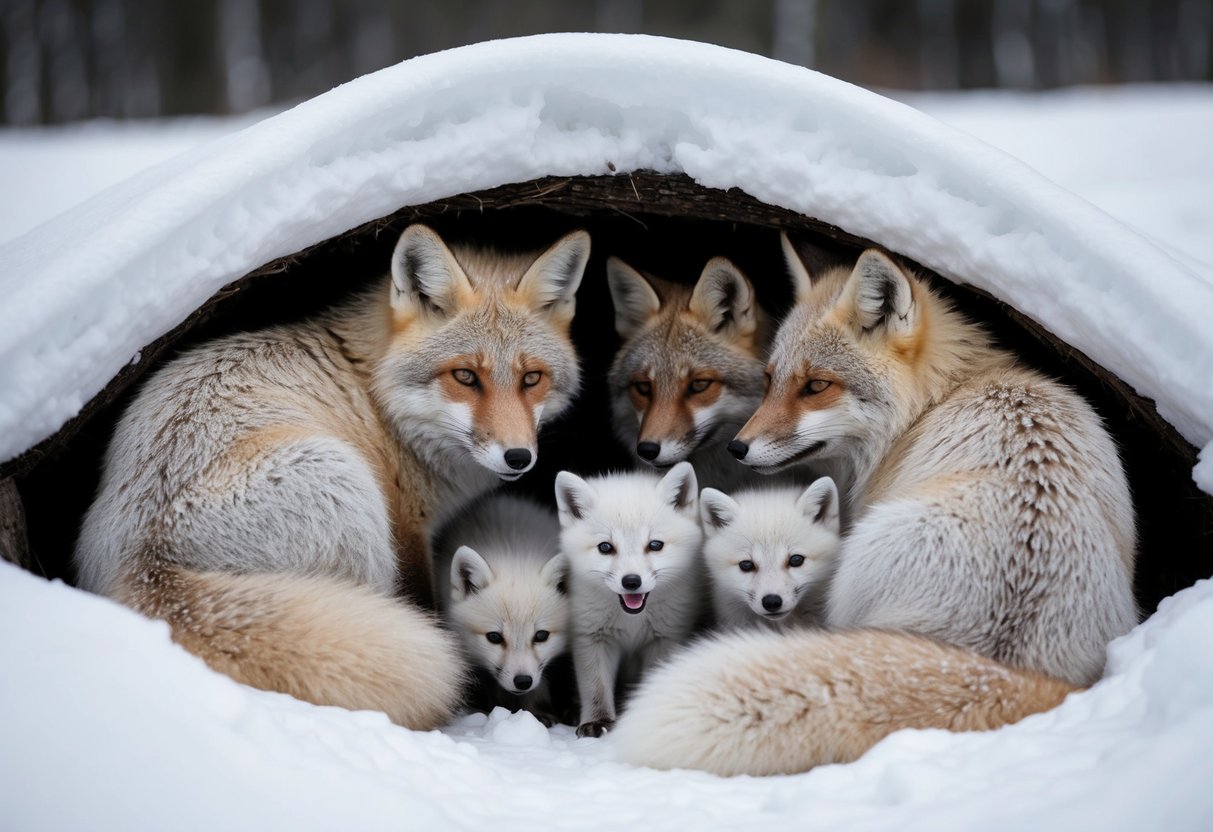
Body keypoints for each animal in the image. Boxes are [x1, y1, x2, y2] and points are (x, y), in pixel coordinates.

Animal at [554, 462, 705, 738]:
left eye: (655, 545)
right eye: (605, 547)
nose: (631, 581)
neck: (631, 623)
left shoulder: (664, 639)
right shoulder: (592, 637)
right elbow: (596, 689)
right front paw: (598, 721)